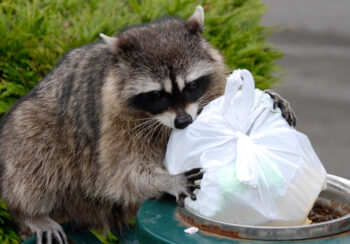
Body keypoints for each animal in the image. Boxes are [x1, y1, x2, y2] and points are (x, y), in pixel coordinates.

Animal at [0, 5, 296, 244]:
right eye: (156, 95)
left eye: (191, 86)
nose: (184, 121)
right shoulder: (114, 123)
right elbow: (122, 173)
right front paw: (167, 179)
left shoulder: (210, 87)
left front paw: (266, 96)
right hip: (33, 125)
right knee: (34, 154)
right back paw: (31, 213)